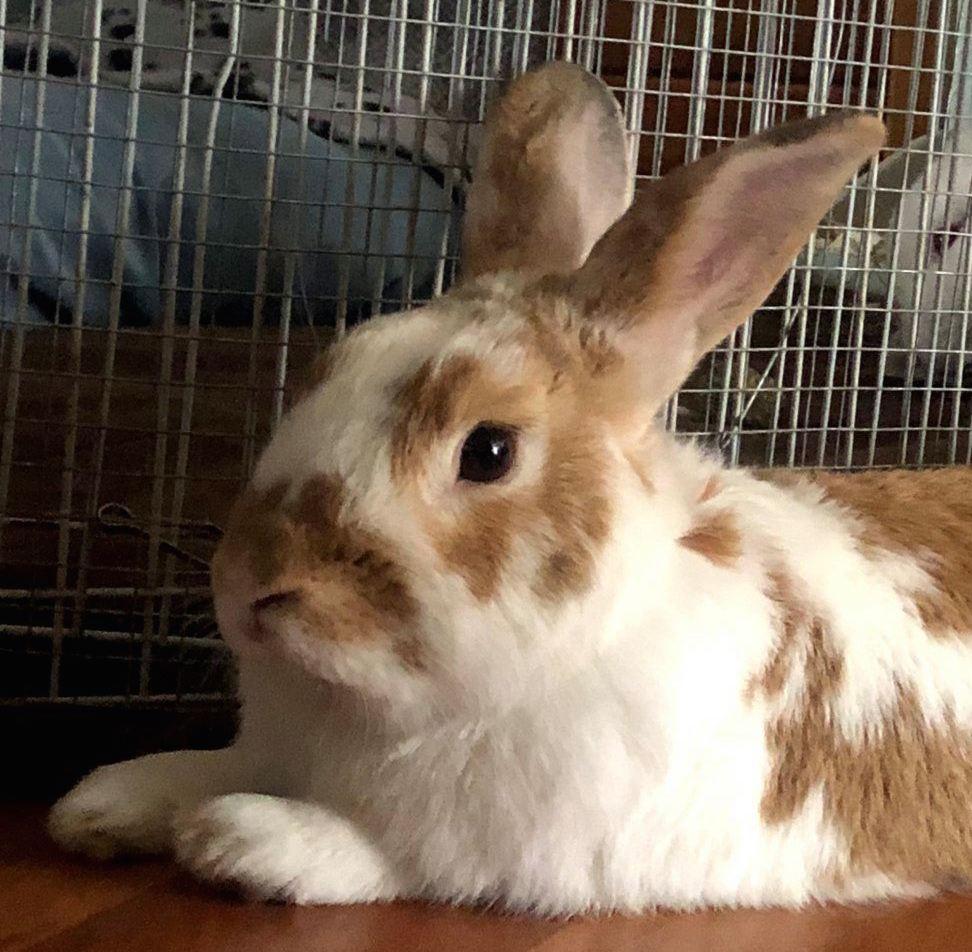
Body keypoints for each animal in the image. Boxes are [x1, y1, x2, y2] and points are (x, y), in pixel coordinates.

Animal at [49, 61, 972, 916]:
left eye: (489, 451)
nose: (248, 586)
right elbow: (208, 768)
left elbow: (390, 858)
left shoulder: (523, 849)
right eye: (327, 367)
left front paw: (241, 837)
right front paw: (103, 801)